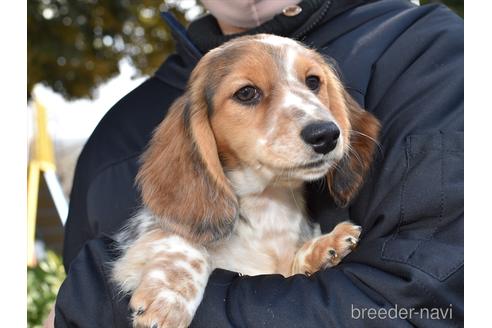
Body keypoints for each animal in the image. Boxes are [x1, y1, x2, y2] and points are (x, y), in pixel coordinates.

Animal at [111, 34, 380, 328]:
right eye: (246, 92)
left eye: (313, 81)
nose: (327, 134)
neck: (269, 206)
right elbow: (183, 241)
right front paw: (169, 297)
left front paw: (323, 247)